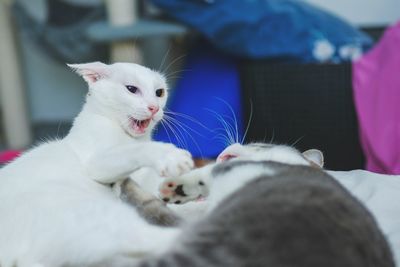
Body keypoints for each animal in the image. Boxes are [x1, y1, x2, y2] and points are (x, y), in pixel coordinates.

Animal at [0, 61, 194, 267]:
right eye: (132, 89)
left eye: (159, 92)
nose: (154, 108)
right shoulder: (97, 162)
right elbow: (135, 152)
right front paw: (169, 155)